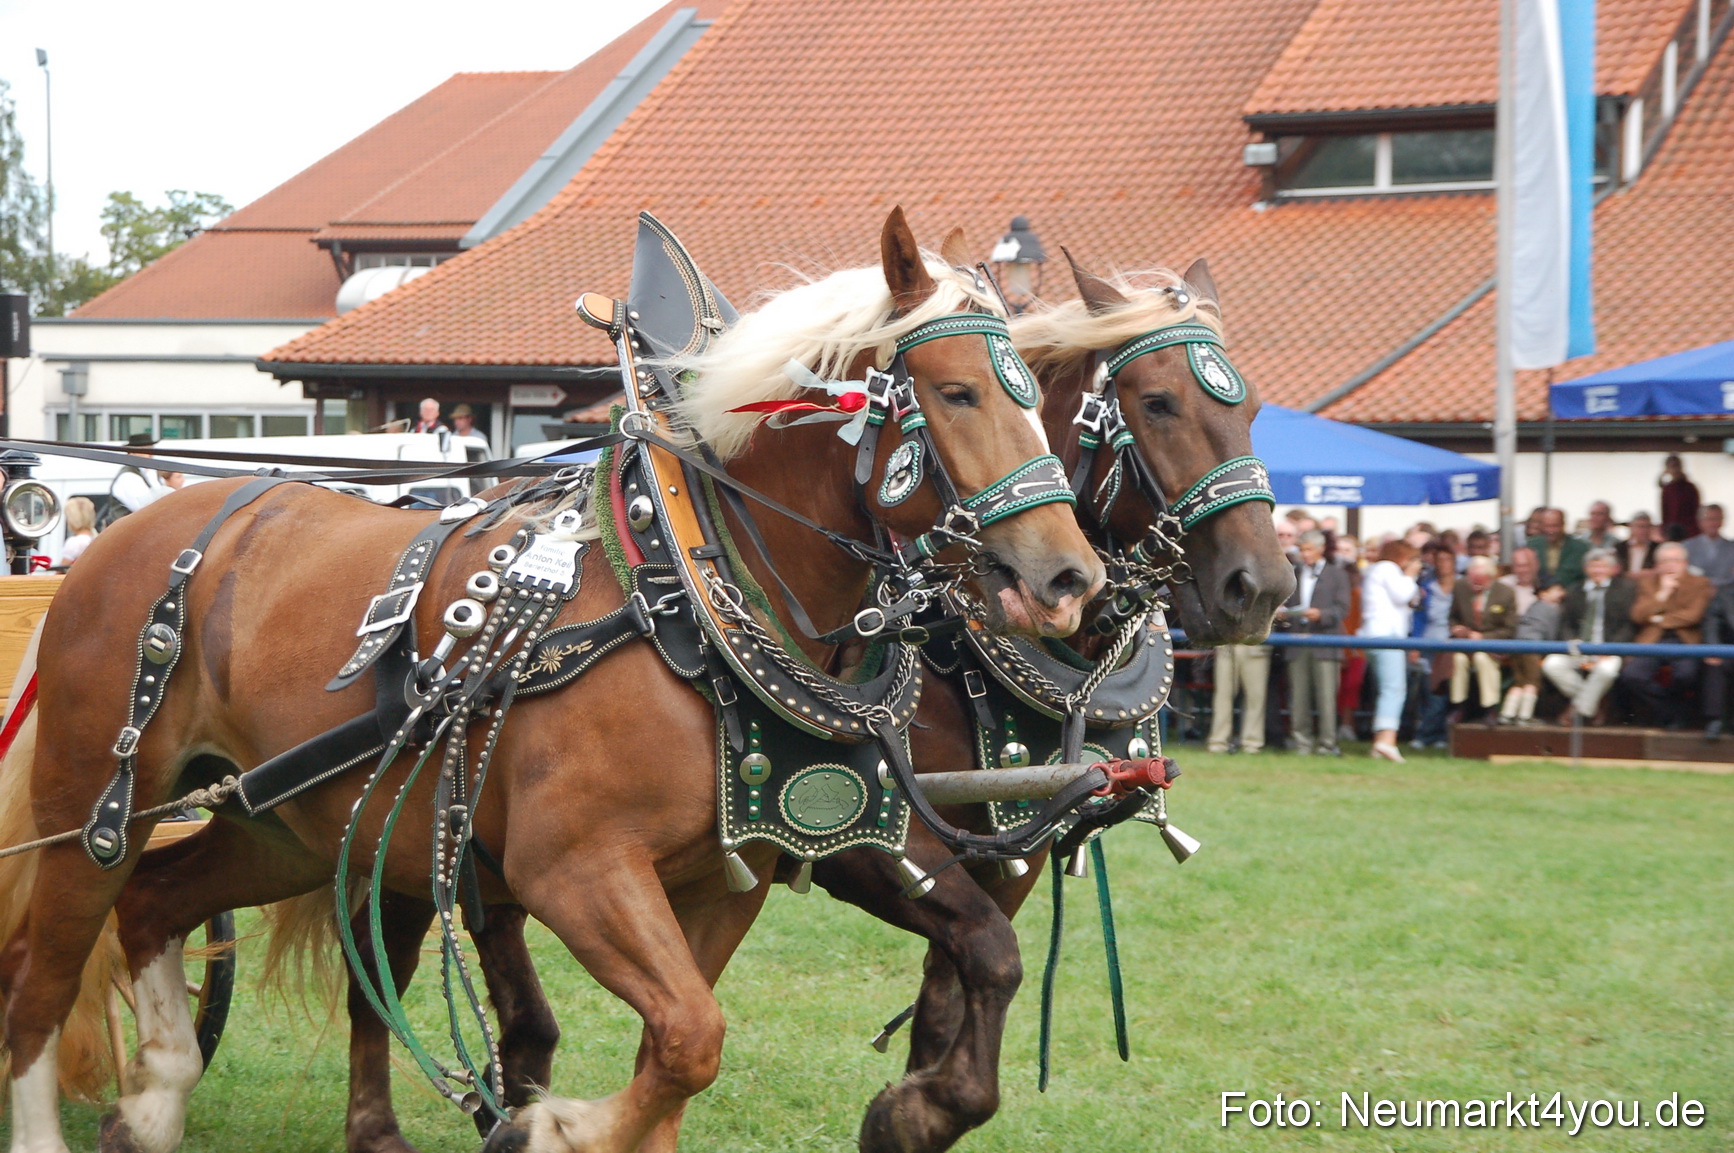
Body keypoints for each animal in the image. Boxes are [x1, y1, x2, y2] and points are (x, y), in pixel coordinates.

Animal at [0, 206, 1107, 1153]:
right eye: (958, 391)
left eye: (1031, 393)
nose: (1069, 576)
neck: (691, 597)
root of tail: (134, 530)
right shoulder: (573, 868)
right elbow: (691, 1038)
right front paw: (549, 1124)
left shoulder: (723, 881)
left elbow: (676, 1053)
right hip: (98, 804)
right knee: (42, 978)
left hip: (281, 820)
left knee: (154, 901)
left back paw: (154, 1096)